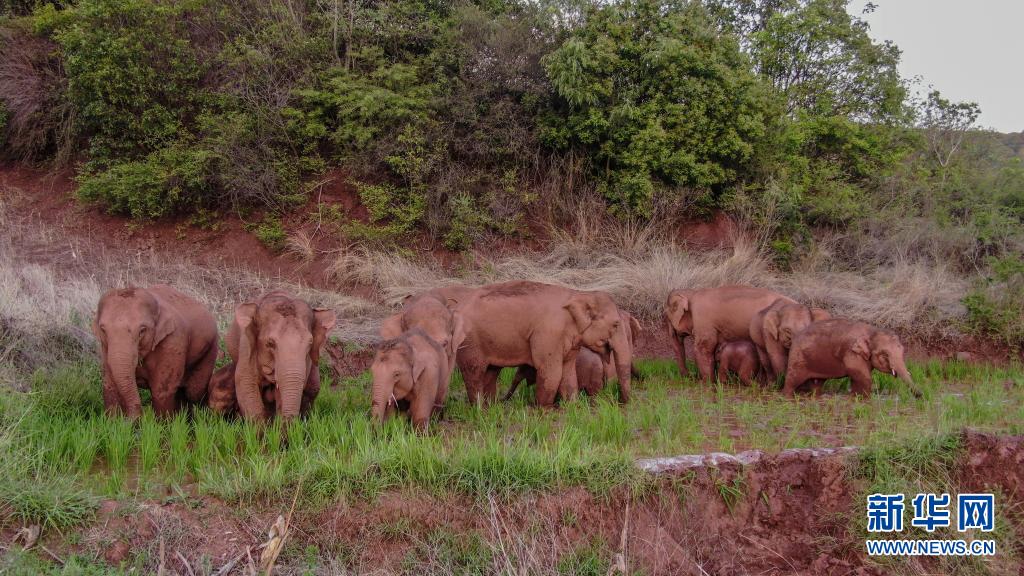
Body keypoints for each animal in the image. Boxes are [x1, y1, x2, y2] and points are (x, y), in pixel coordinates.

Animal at [92, 282, 220, 414]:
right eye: (103, 330)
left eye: (142, 330)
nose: (139, 416)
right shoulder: (105, 347)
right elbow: (109, 385)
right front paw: (113, 418)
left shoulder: (173, 341)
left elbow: (161, 391)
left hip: (212, 347)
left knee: (194, 391)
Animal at [227, 289, 335, 420]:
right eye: (270, 343)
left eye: (310, 343)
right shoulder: (246, 348)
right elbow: (246, 384)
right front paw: (260, 426)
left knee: (313, 387)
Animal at [452, 280, 626, 405]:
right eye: (616, 324)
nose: (621, 403)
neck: (578, 294)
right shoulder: (548, 333)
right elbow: (550, 370)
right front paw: (544, 410)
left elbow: (568, 370)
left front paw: (572, 408)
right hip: (470, 342)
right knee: (474, 371)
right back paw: (480, 409)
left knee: (491, 371)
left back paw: (492, 406)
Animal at [659, 284, 794, 383]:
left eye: (665, 316)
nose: (690, 376)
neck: (692, 293)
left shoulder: (703, 321)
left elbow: (703, 348)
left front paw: (707, 383)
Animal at [782, 315, 921, 397]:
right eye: (885, 354)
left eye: (903, 351)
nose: (920, 394)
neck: (871, 331)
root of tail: (795, 336)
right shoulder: (851, 353)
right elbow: (862, 376)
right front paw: (865, 399)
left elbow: (857, 377)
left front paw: (855, 397)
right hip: (797, 357)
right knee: (792, 379)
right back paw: (787, 397)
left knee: (817, 383)